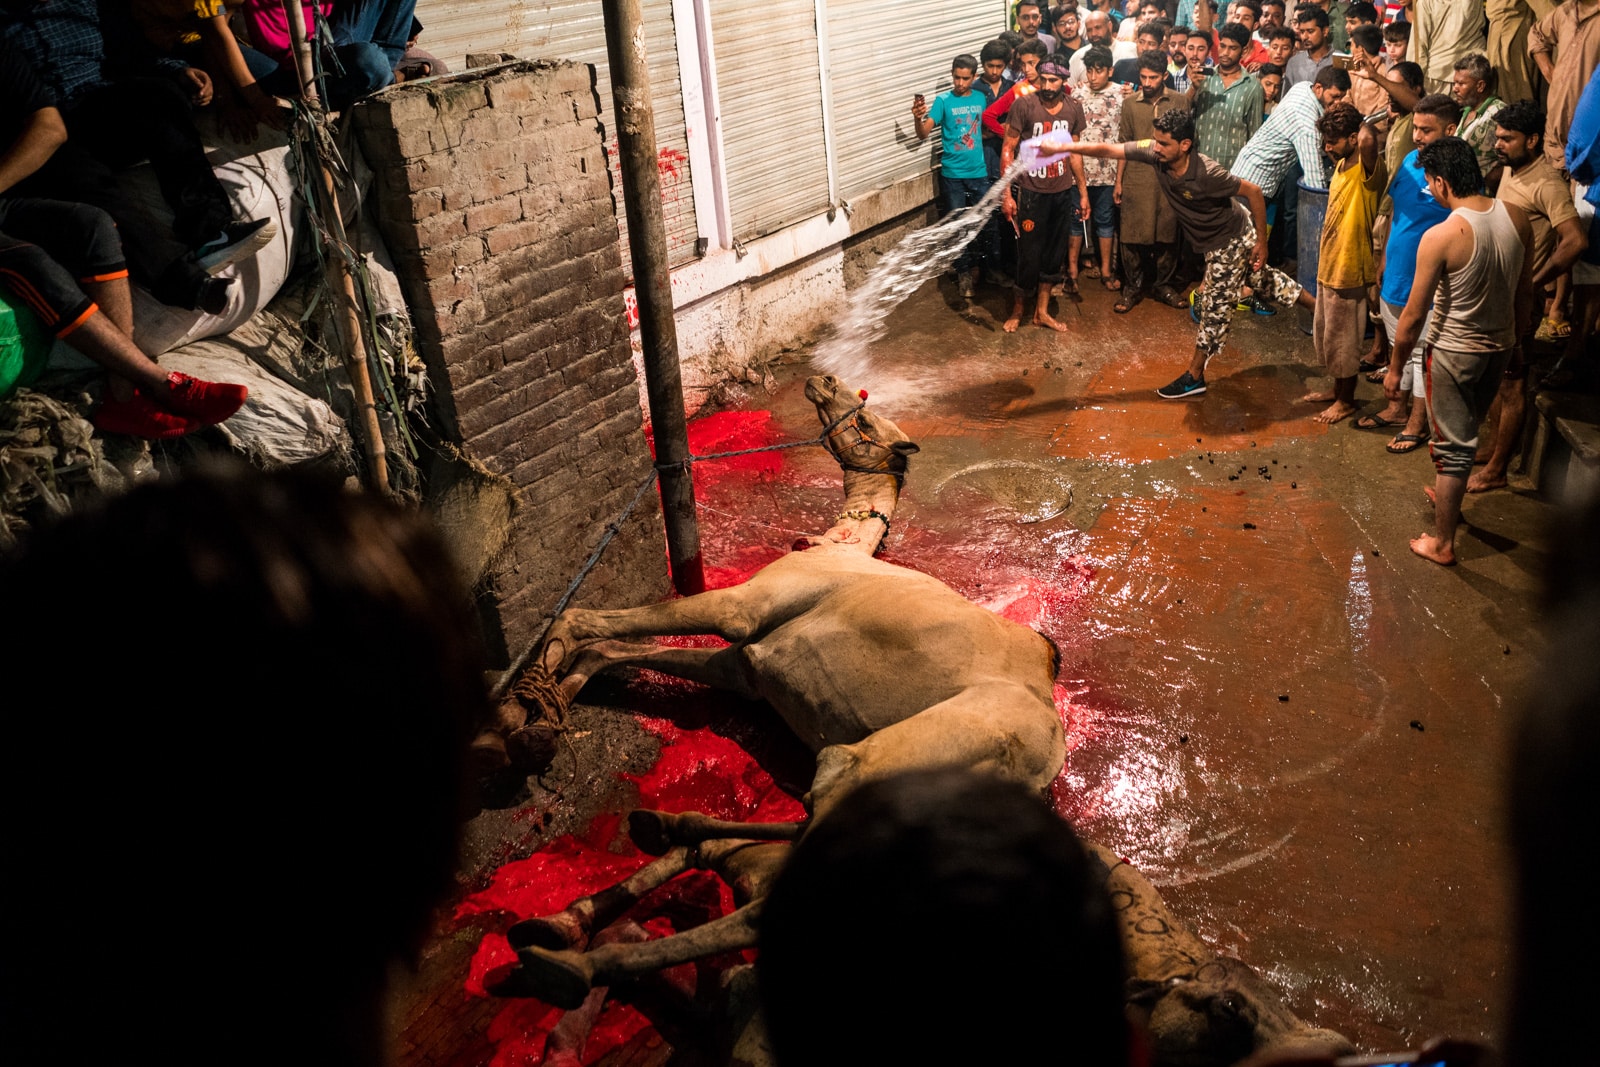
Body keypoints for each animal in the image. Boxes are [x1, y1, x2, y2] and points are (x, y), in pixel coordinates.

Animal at [480, 375, 1356, 1067]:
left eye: (867, 421)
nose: (821, 379)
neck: (839, 539)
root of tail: (1047, 752)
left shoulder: (744, 608)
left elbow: (605, 617)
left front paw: (517, 703)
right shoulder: (745, 666)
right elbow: (622, 649)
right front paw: (543, 704)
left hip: (893, 754)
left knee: (783, 887)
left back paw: (564, 962)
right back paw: (587, 895)